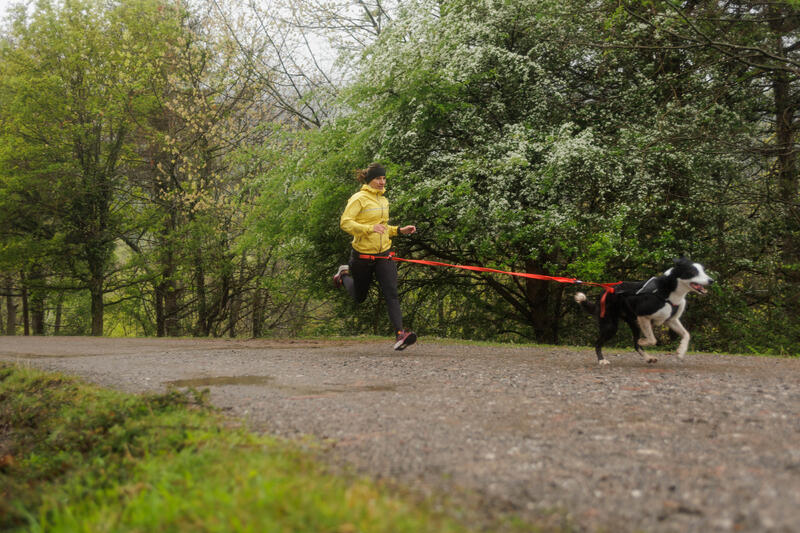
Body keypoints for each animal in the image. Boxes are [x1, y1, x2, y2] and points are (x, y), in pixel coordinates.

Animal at [576, 256, 712, 364]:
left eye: (703, 270)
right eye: (693, 271)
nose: (711, 280)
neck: (668, 292)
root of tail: (605, 292)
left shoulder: (671, 320)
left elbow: (686, 334)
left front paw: (681, 351)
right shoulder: (643, 316)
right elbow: (652, 340)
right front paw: (644, 341)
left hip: (633, 324)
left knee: (635, 343)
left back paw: (648, 358)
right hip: (611, 326)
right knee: (598, 343)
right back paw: (602, 360)